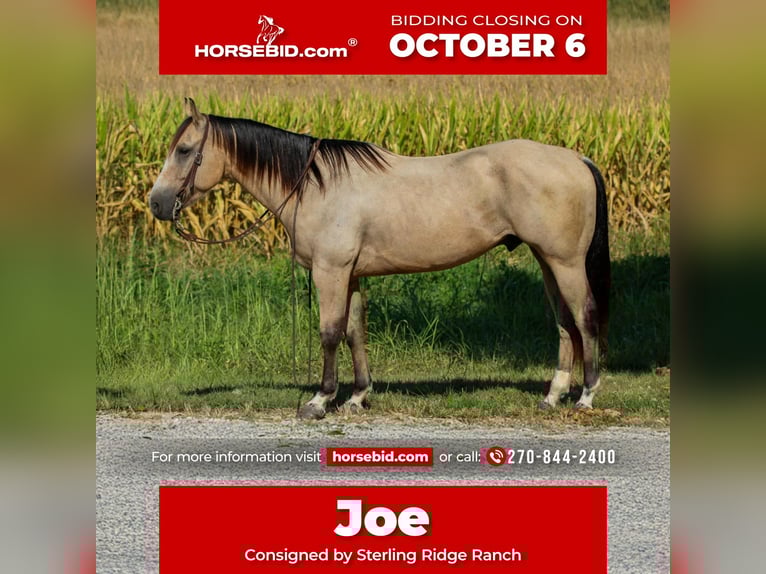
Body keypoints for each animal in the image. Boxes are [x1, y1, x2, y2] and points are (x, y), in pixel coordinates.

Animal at [149, 98, 611, 420]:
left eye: (185, 150)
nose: (157, 203)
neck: (315, 184)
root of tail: (576, 158)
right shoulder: (351, 275)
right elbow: (355, 332)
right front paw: (356, 397)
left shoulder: (330, 272)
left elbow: (330, 333)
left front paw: (319, 401)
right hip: (547, 261)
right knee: (564, 322)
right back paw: (553, 395)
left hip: (566, 262)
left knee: (584, 316)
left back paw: (586, 397)